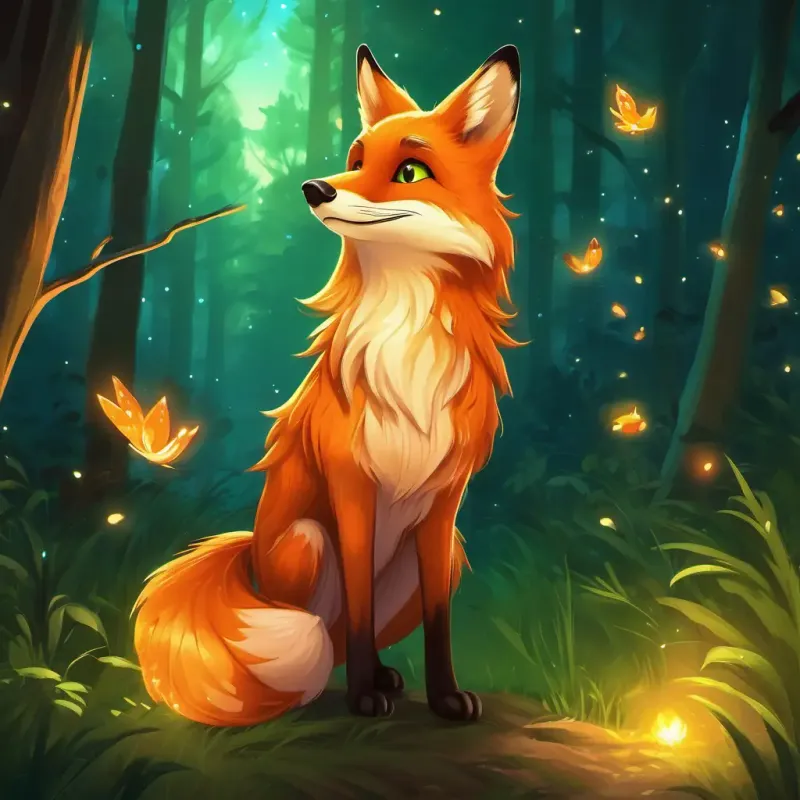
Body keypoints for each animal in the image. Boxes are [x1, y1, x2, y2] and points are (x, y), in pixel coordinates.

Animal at [133, 43, 522, 727]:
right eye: (357, 159)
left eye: (410, 171)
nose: (314, 188)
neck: (405, 340)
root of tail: (251, 557)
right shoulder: (351, 488)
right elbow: (359, 605)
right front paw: (365, 696)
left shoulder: (444, 505)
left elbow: (439, 622)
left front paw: (446, 697)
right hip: (308, 543)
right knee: (327, 629)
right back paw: (361, 681)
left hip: (445, 554)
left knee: (341, 634)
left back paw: (389, 676)